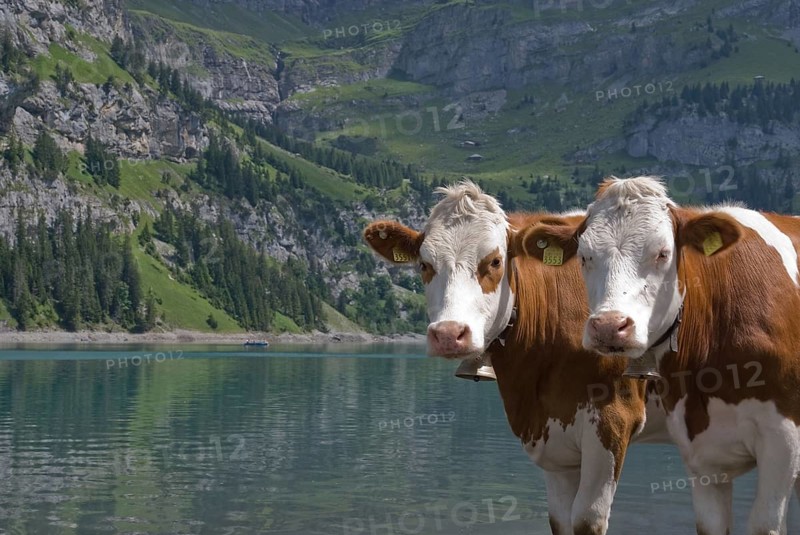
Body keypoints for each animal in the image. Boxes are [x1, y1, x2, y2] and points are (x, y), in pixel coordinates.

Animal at [363, 181, 670, 535]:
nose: (449, 334)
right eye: (425, 265)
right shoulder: (553, 436)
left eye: (495, 261)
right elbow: (561, 519)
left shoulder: (614, 419)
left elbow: (586, 519)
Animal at [519, 176, 800, 535]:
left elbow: (765, 523)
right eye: (584, 256)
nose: (609, 326)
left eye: (663, 253)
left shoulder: (783, 440)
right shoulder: (700, 451)